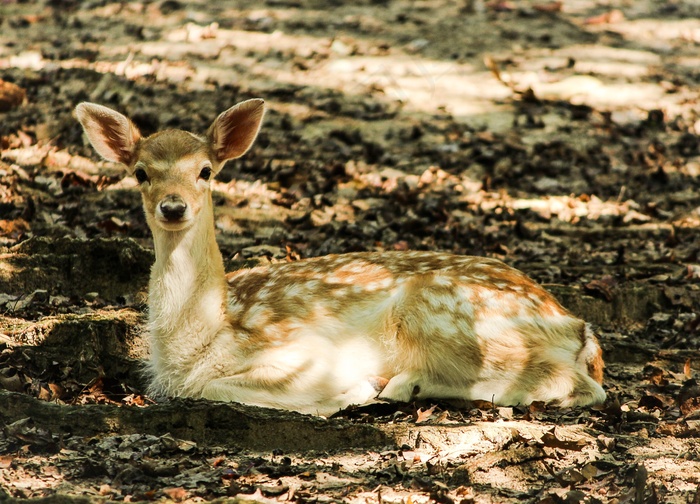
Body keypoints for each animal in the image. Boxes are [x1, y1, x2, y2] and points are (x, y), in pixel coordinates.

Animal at [74, 99, 604, 418]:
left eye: (205, 170)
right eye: (141, 172)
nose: (173, 206)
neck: (201, 338)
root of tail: (578, 327)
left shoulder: (302, 349)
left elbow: (216, 387)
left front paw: (352, 391)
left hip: (444, 315)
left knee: (578, 386)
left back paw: (397, 385)